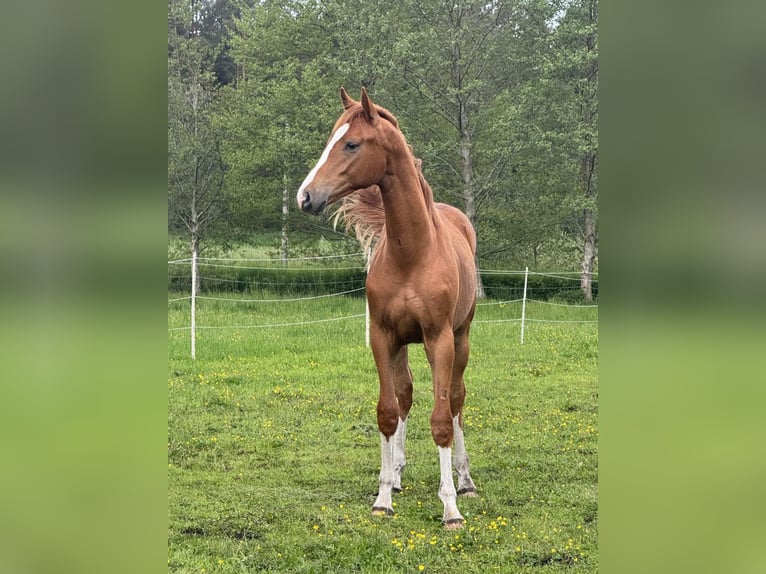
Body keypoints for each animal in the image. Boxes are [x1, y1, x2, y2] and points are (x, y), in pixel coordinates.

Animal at [297, 87, 478, 529]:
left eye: (352, 144)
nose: (305, 196)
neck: (411, 252)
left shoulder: (439, 339)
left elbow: (441, 418)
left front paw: (450, 508)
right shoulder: (383, 337)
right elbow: (387, 411)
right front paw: (382, 497)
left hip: (461, 337)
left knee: (457, 400)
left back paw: (465, 480)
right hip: (402, 346)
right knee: (405, 395)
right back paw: (396, 474)